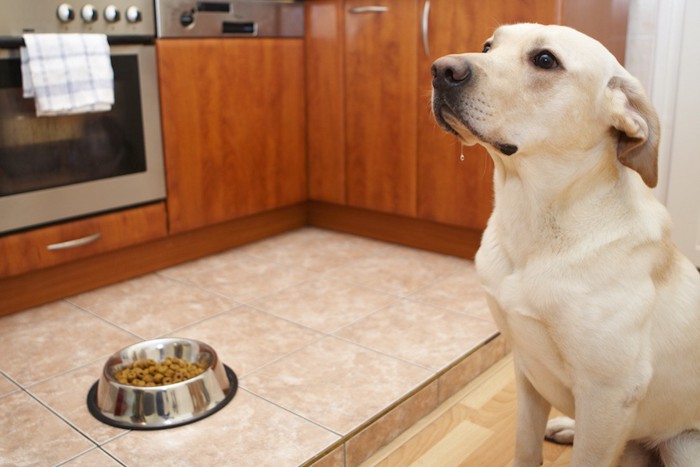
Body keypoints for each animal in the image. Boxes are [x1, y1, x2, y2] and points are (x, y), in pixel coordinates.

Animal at [432, 23, 700, 466]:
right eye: (488, 46)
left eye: (545, 60)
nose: (439, 69)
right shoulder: (525, 365)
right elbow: (525, 444)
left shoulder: (609, 393)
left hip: (683, 444)